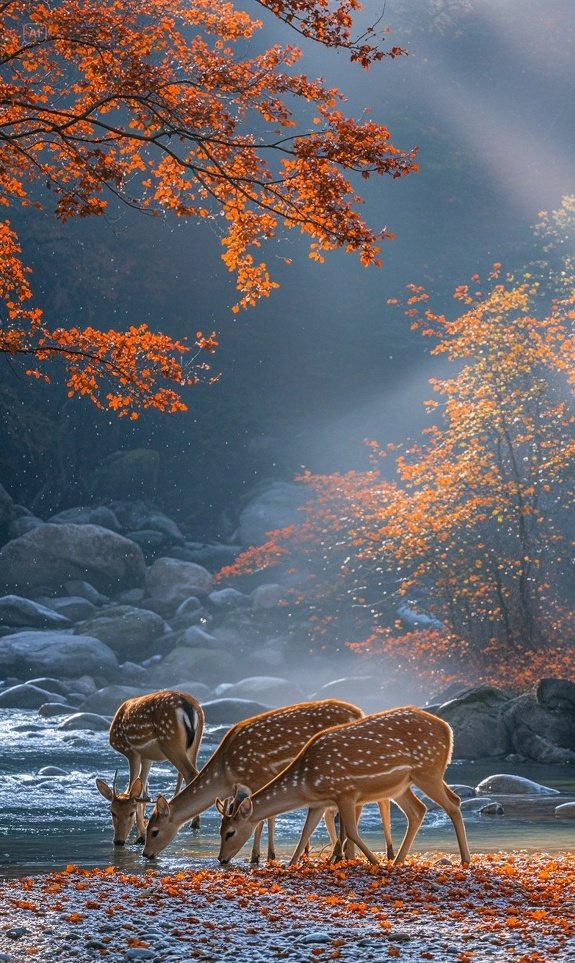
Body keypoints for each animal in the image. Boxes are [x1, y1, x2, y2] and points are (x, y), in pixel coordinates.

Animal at [96, 690, 204, 845]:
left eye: (130, 813)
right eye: (112, 812)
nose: (118, 841)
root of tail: (187, 705)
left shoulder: (132, 752)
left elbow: (135, 789)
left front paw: (141, 836)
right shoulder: (147, 757)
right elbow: (143, 790)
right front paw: (141, 835)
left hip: (170, 741)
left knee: (190, 773)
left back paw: (194, 823)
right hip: (194, 743)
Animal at [142, 698, 394, 863]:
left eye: (153, 831)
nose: (145, 854)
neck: (226, 772)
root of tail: (359, 712)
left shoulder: (259, 775)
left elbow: (263, 819)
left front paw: (259, 856)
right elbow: (266, 816)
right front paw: (265, 855)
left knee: (377, 799)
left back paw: (367, 853)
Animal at [217, 705, 471, 868]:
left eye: (230, 832)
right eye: (220, 830)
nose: (221, 859)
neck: (305, 782)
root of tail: (448, 730)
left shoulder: (346, 792)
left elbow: (352, 830)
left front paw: (373, 862)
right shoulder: (318, 803)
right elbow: (305, 832)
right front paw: (291, 864)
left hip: (428, 771)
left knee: (453, 803)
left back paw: (465, 859)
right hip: (403, 784)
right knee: (419, 810)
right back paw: (399, 860)